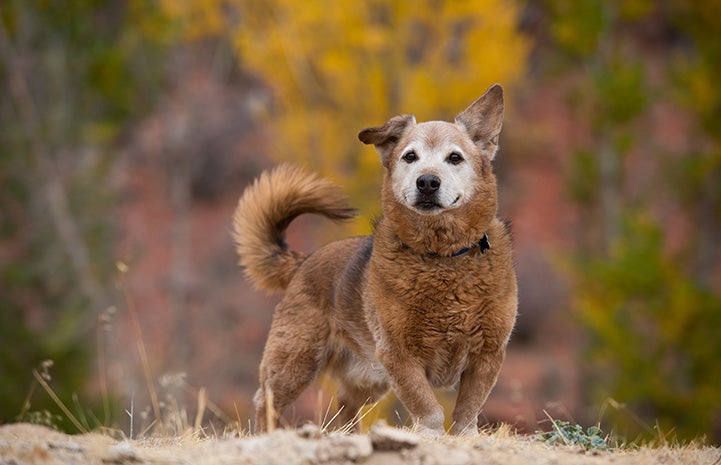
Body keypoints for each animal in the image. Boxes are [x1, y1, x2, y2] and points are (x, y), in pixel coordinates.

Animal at [233, 83, 516, 436]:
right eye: (410, 156)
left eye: (455, 158)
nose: (427, 181)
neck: (442, 257)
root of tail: (303, 260)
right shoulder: (398, 356)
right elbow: (429, 408)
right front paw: (432, 436)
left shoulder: (487, 355)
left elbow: (468, 410)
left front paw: (465, 438)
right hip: (295, 360)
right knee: (265, 401)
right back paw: (266, 435)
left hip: (366, 378)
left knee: (343, 405)